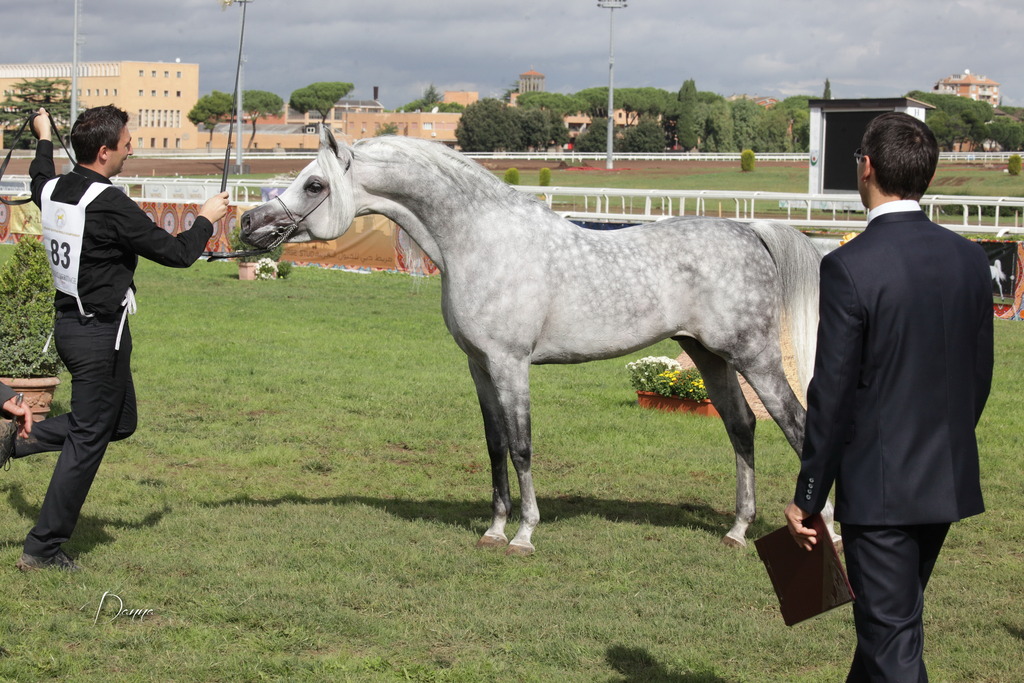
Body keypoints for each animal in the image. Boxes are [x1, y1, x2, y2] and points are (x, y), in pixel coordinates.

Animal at [240, 127, 833, 555]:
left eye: (314, 185)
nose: (248, 223)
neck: (480, 241)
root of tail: (750, 230)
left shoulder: (511, 364)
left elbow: (522, 445)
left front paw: (524, 535)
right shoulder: (480, 367)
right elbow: (495, 445)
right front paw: (494, 529)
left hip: (755, 356)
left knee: (798, 425)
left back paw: (822, 528)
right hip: (708, 355)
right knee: (742, 427)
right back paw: (736, 531)